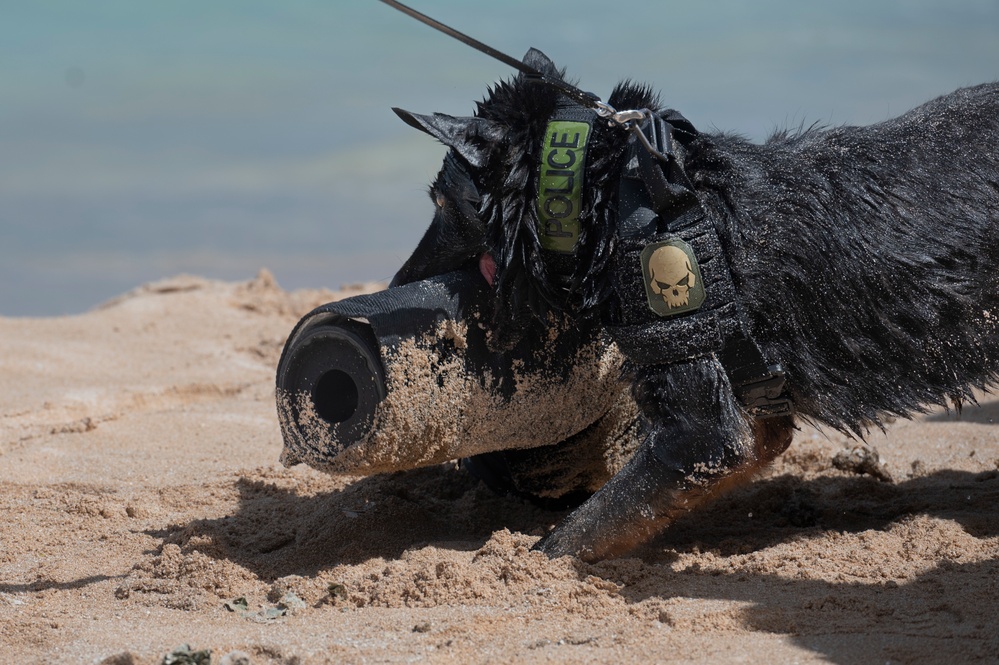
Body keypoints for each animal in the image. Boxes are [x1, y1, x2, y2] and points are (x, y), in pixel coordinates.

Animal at [388, 48, 999, 560]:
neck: (601, 188)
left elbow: (576, 532)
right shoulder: (753, 426)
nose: (396, 277)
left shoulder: (703, 435)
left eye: (440, 202)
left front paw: (521, 569)